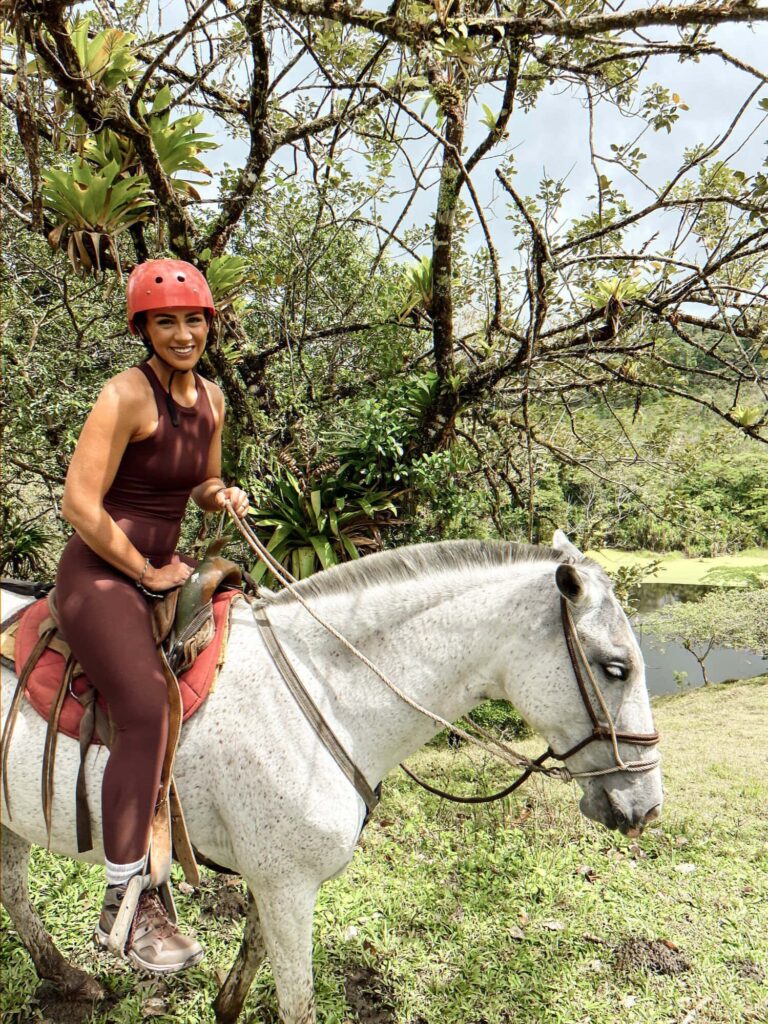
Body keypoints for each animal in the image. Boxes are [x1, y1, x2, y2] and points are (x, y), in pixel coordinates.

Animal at [0, 532, 663, 1019]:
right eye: (616, 667)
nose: (645, 805)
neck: (325, 695)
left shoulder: (273, 885)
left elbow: (238, 986)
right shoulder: (287, 887)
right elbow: (296, 1005)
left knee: (12, 892)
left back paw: (68, 979)